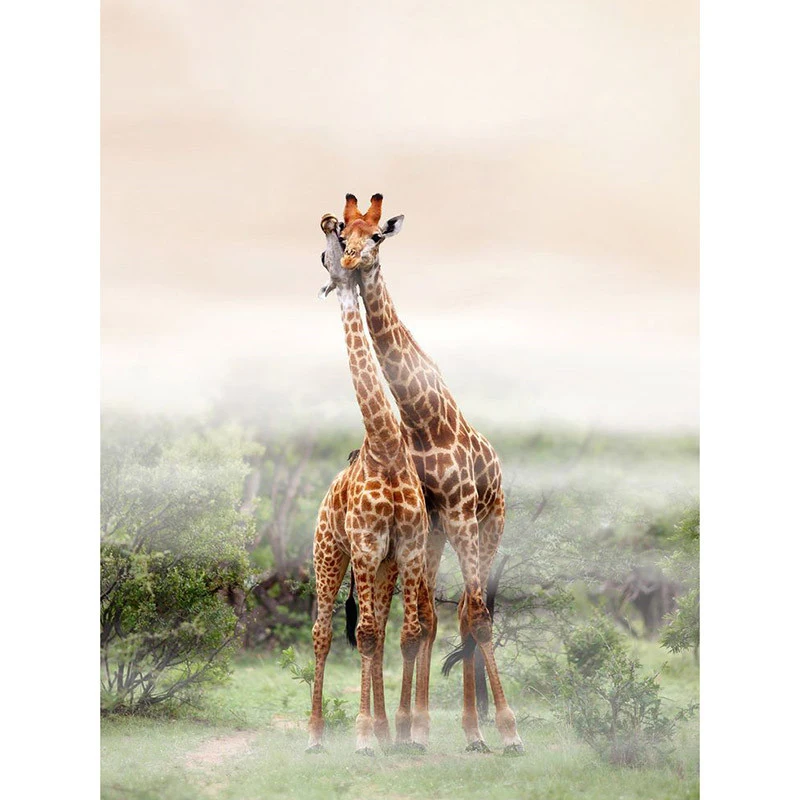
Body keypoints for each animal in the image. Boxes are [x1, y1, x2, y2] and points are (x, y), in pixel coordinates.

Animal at [332, 193, 525, 756]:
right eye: (344, 230)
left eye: (376, 235)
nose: (350, 257)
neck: (422, 418)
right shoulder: (429, 521)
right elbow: (418, 625)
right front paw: (408, 725)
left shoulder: (460, 512)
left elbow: (477, 617)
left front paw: (508, 731)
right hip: (436, 536)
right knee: (436, 619)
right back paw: (430, 724)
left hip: (487, 524)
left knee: (468, 615)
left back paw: (478, 730)